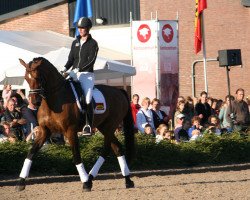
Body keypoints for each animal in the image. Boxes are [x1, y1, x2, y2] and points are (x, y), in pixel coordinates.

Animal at [15, 57, 136, 191]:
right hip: (104, 127)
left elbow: (76, 156)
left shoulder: (70, 131)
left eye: (39, 77)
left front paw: (85, 183)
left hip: (110, 126)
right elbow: (31, 153)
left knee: (106, 150)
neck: (54, 101)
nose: (35, 102)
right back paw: (127, 180)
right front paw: (21, 182)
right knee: (117, 148)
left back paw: (90, 178)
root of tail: (119, 91)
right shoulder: (45, 131)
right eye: (26, 78)